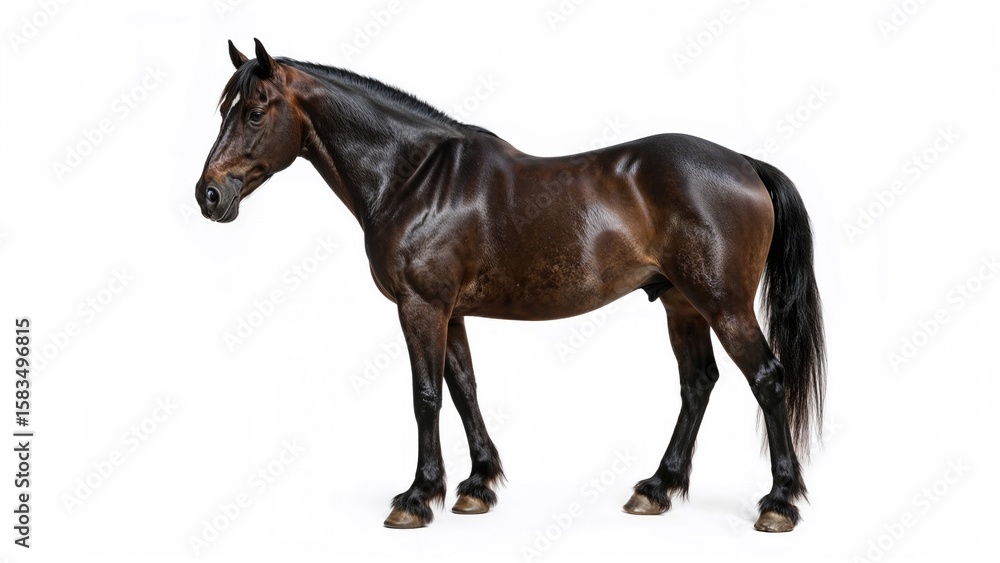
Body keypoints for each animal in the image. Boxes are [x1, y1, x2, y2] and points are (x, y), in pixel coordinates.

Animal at [195, 39, 826, 533]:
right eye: (223, 107)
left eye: (255, 112)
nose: (209, 195)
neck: (414, 178)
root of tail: (743, 163)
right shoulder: (450, 312)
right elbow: (463, 388)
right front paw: (477, 486)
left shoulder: (420, 308)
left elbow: (426, 396)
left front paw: (418, 497)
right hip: (681, 305)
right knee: (697, 384)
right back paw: (656, 488)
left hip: (723, 305)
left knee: (767, 380)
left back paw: (778, 504)